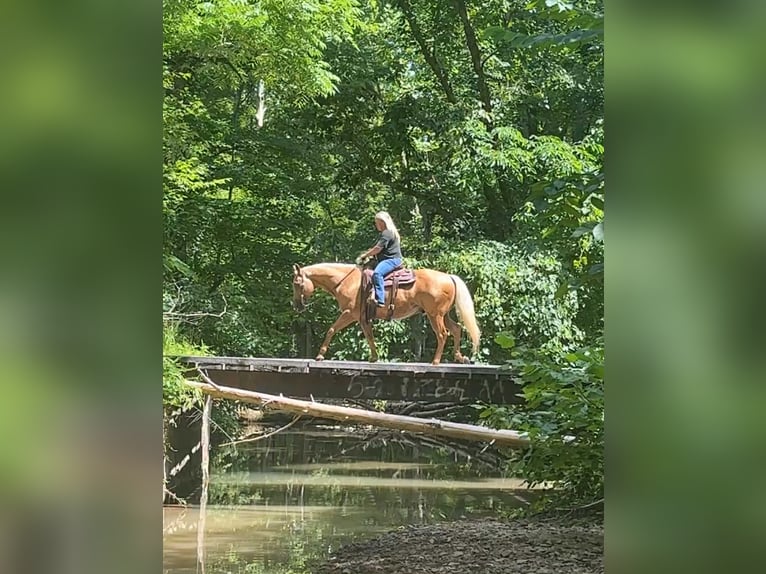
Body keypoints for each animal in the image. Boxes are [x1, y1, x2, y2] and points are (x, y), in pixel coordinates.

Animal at [291, 262, 480, 365]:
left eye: (297, 284)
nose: (297, 306)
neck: (347, 281)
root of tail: (449, 277)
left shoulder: (349, 314)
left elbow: (331, 329)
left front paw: (320, 355)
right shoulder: (362, 318)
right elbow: (369, 336)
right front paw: (374, 357)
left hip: (435, 315)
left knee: (442, 334)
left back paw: (435, 361)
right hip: (443, 314)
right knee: (456, 329)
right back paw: (460, 357)